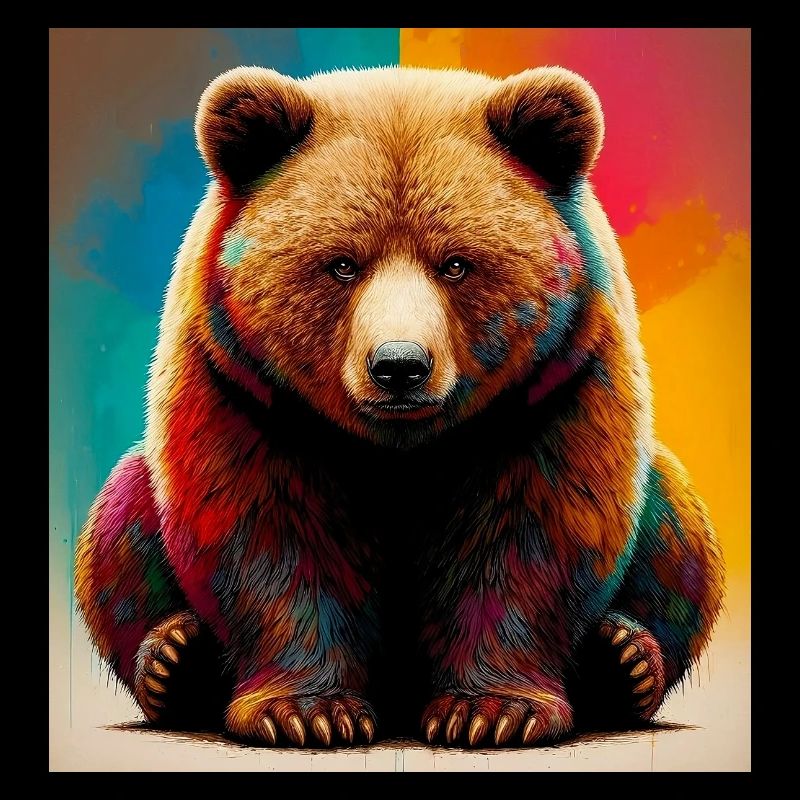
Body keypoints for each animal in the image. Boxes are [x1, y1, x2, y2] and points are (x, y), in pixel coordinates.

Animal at [75, 65, 725, 748]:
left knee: (679, 529)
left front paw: (490, 709)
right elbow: (268, 532)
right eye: (342, 264)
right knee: (119, 520)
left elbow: (530, 532)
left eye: (456, 263)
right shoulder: (244, 388)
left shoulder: (554, 385)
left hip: (664, 513)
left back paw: (624, 660)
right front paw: (308, 710)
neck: (400, 447)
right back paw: (173, 660)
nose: (399, 366)